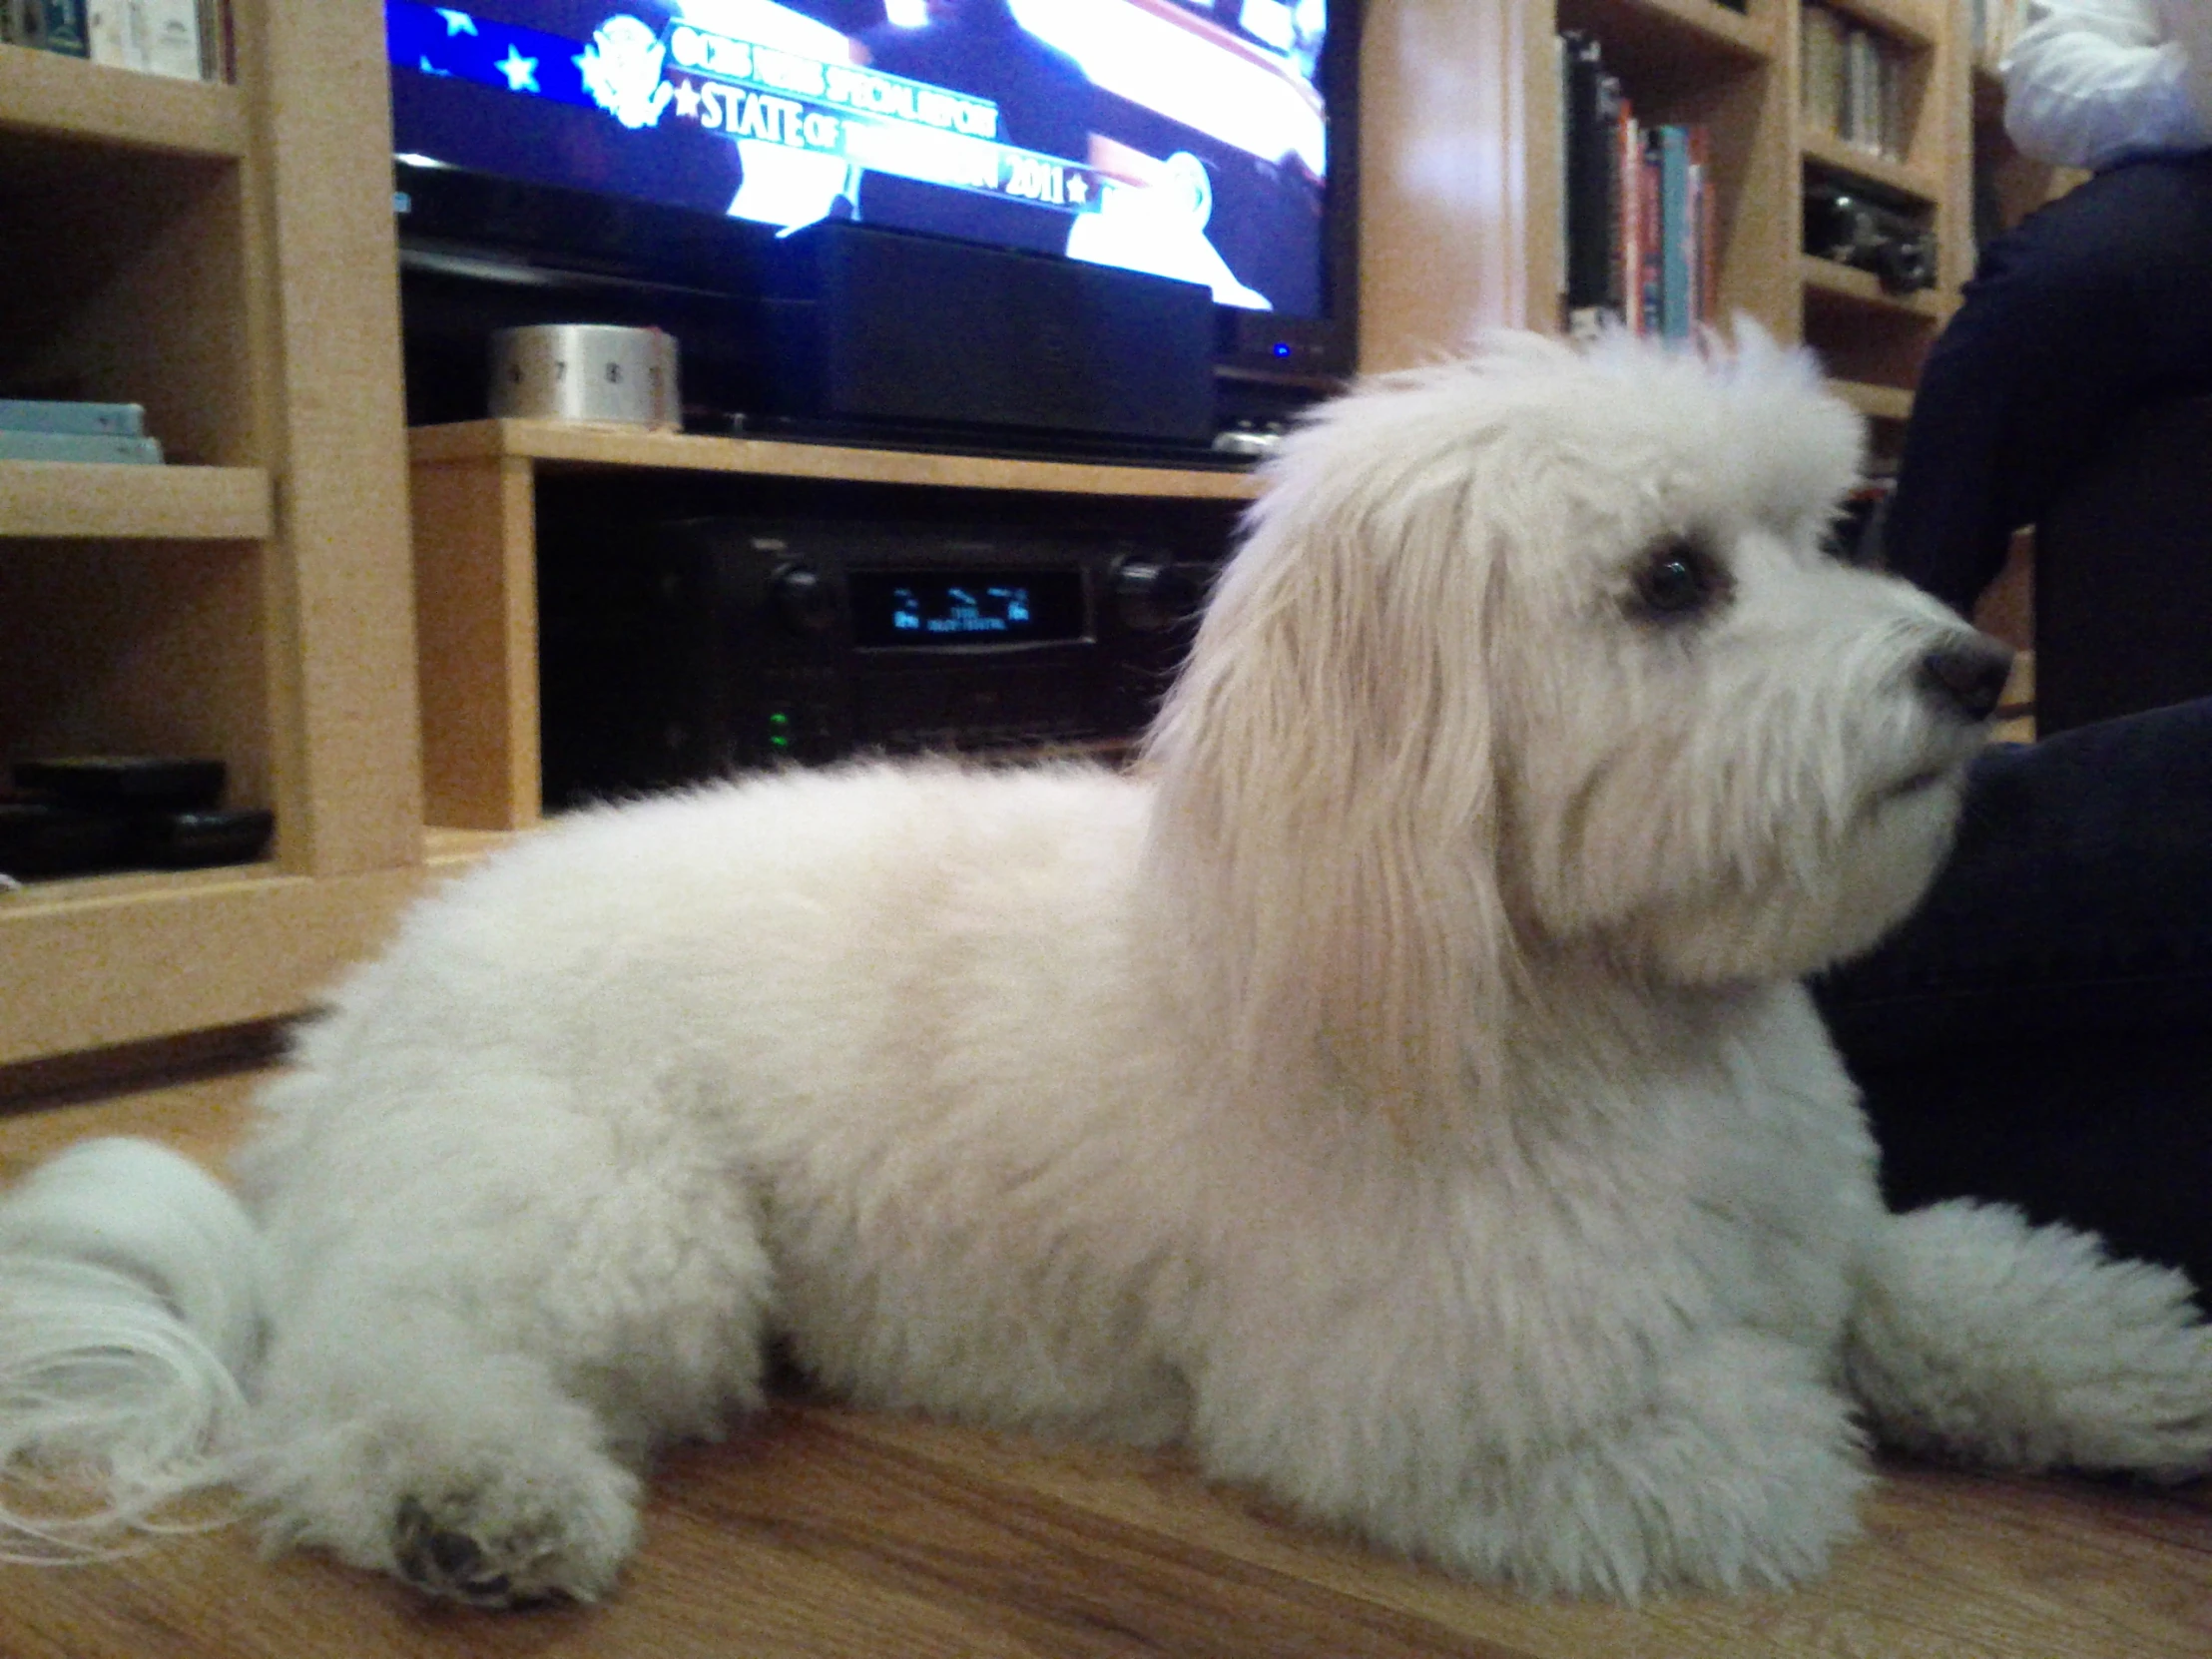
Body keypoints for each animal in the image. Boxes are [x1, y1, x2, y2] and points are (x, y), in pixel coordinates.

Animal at [4, 326, 2212, 1610]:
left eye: (1824, 529)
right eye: (1671, 580)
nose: (1974, 666)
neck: (1593, 1014)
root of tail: (350, 1026)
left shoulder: (1830, 1240)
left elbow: (1973, 1297)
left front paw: (2142, 1369)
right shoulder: (1434, 1406)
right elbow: (1781, 1437)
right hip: (608, 1214)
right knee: (363, 1374)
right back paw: (472, 1501)